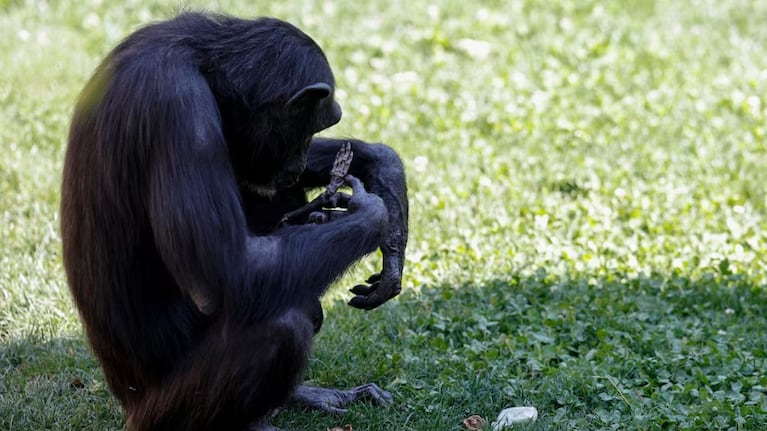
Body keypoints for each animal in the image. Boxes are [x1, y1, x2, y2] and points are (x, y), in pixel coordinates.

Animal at [61, 11, 408, 430]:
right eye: (308, 127)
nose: (297, 163)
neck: (202, 62)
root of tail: (127, 405)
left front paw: (386, 177)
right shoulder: (179, 109)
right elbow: (228, 271)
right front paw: (372, 214)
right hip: (162, 410)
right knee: (283, 326)